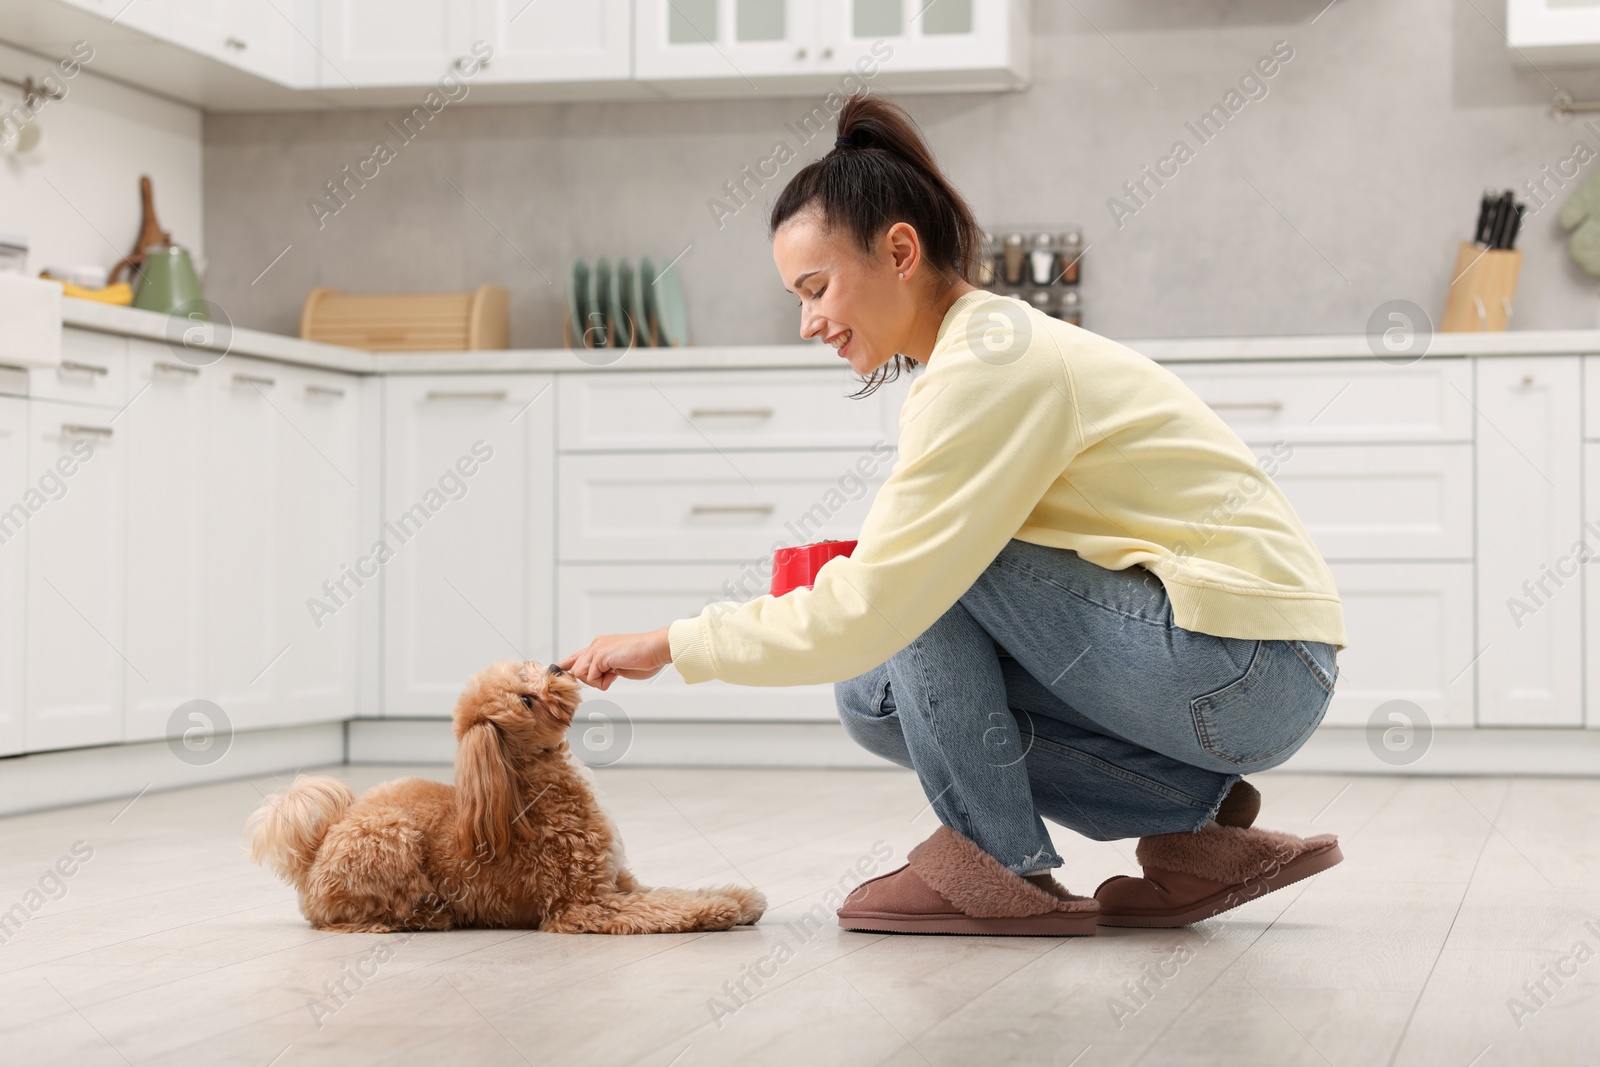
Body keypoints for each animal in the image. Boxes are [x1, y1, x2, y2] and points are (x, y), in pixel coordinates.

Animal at [248, 659, 768, 934]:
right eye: (527, 700)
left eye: (528, 670)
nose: (556, 666)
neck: (530, 784)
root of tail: (312, 859)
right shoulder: (586, 904)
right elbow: (665, 910)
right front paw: (719, 912)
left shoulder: (621, 882)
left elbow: (674, 894)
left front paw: (737, 897)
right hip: (387, 836)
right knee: (348, 919)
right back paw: (426, 916)